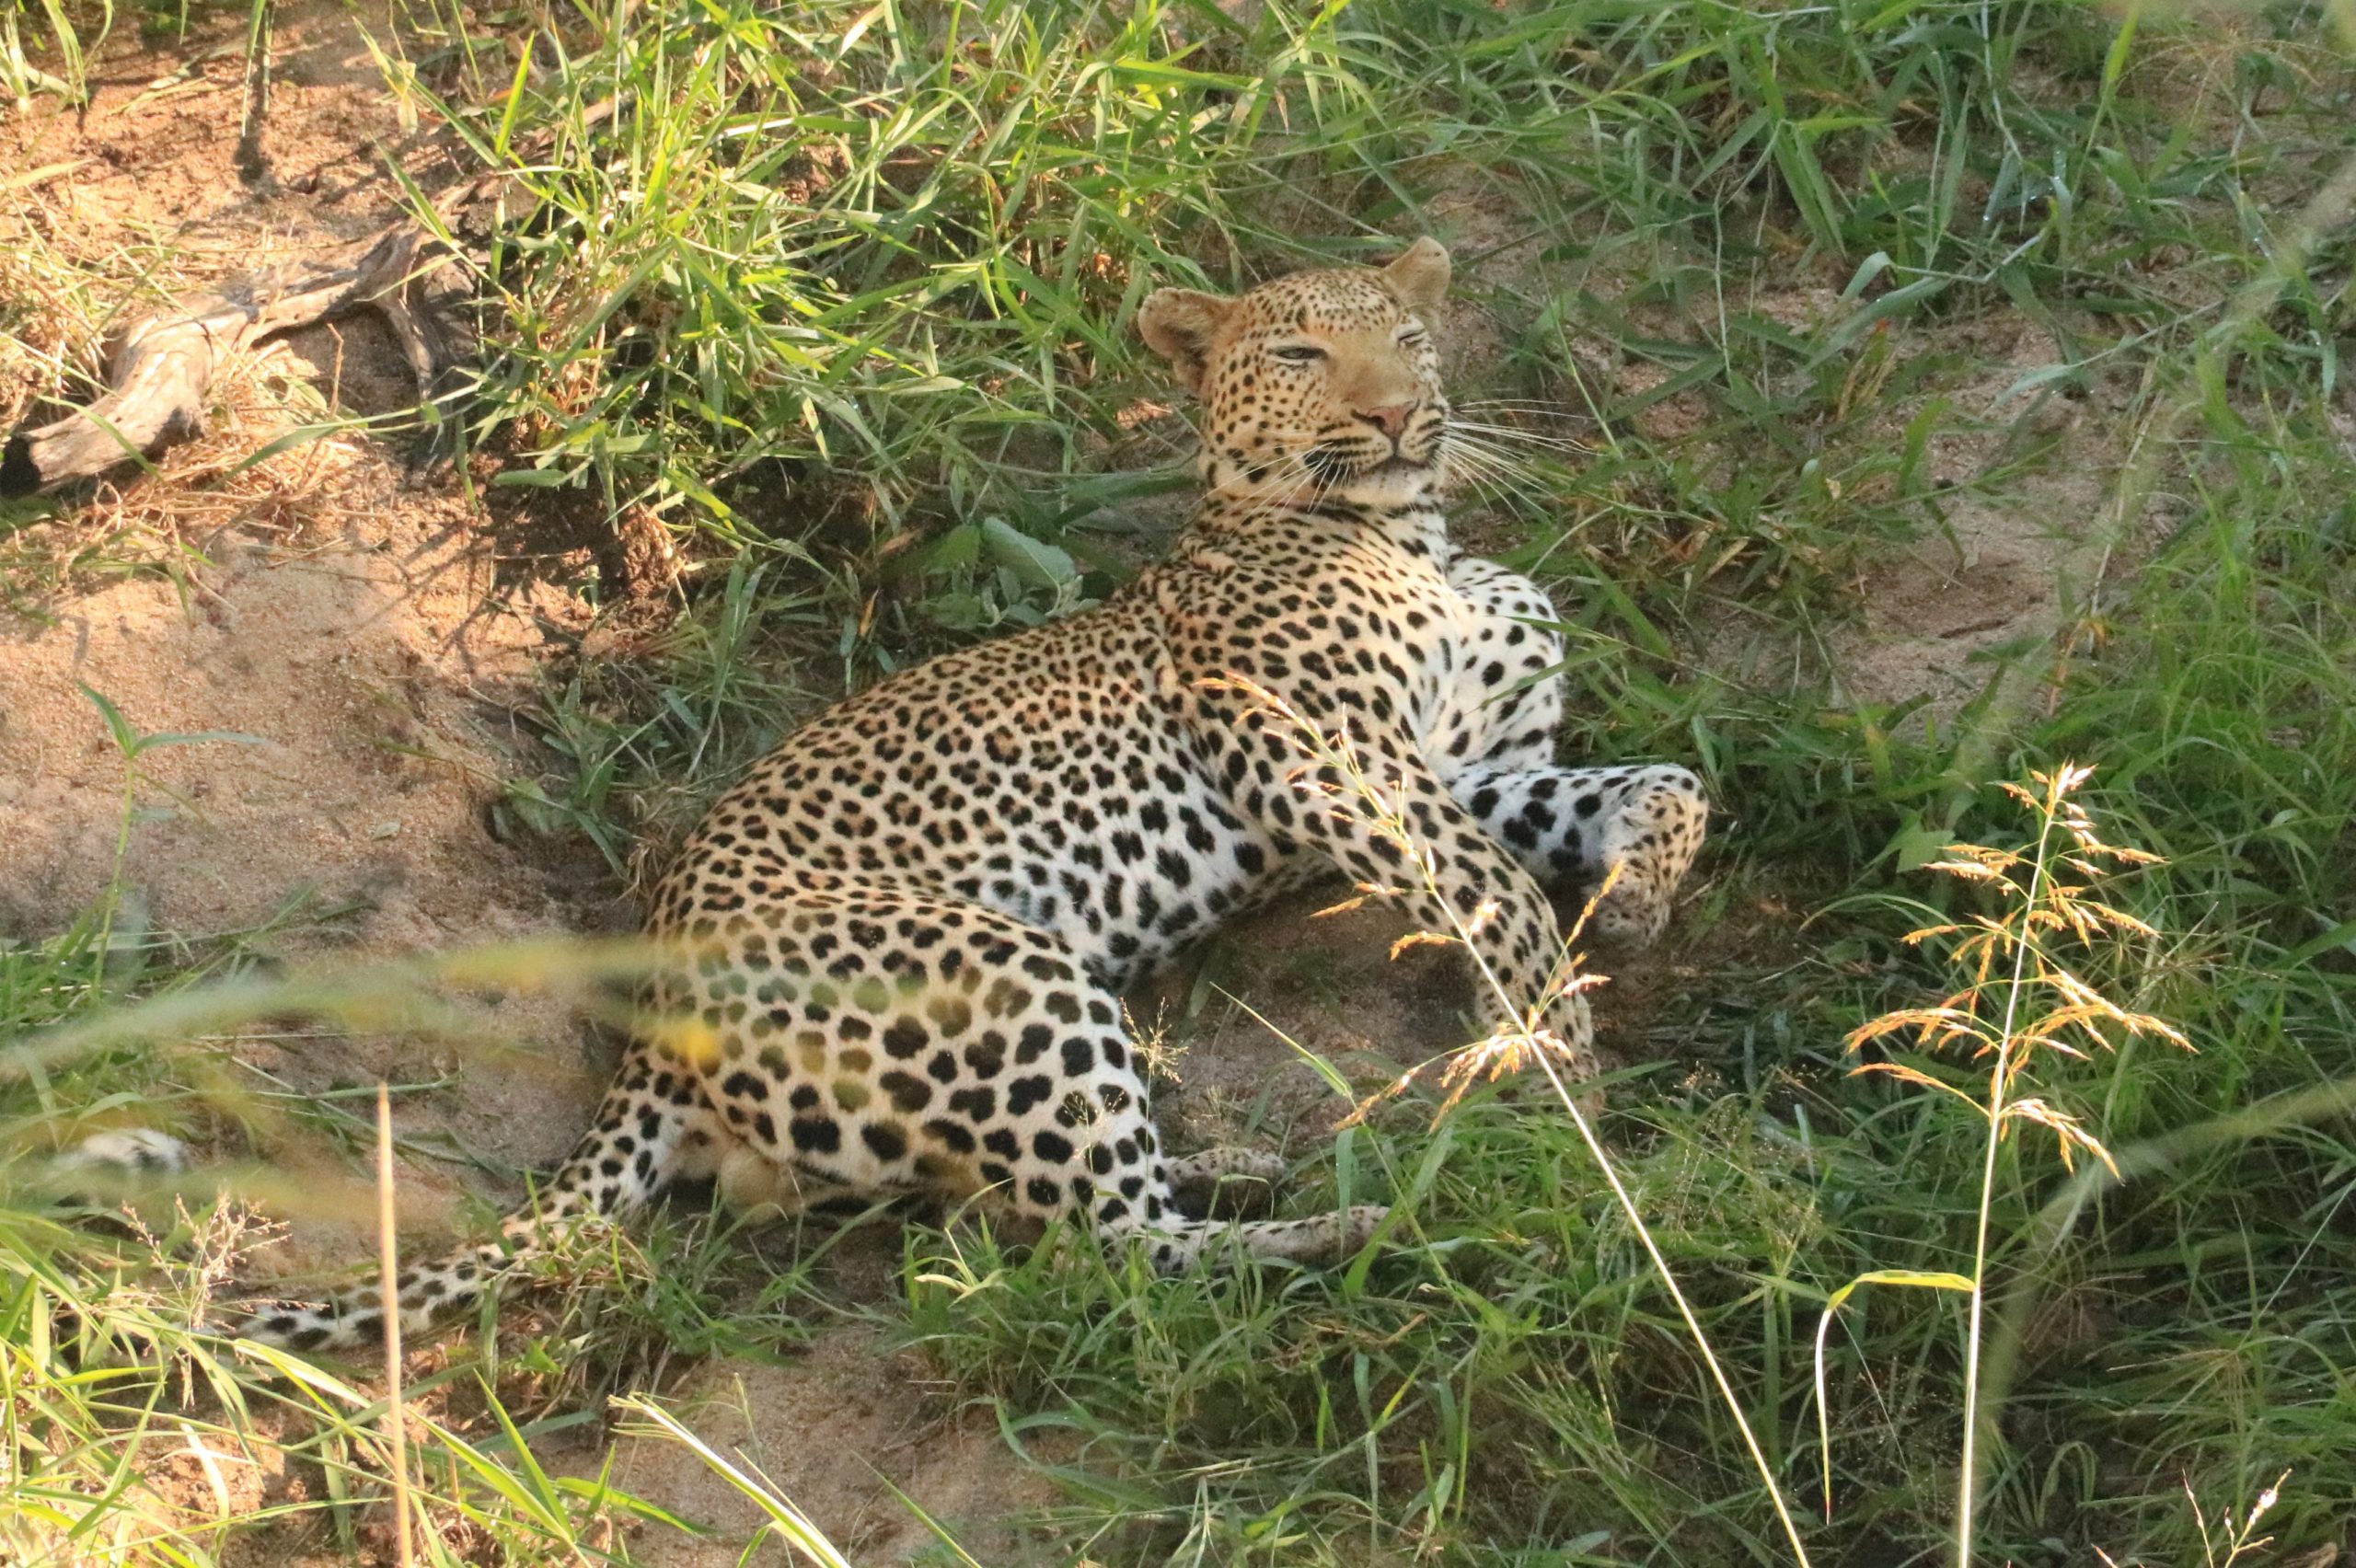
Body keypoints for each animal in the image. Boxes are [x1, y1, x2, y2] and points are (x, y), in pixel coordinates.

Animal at [198, 232, 1715, 1346]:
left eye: (1406, 338)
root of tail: (648, 1020)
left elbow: (1659, 783)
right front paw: (1558, 1052)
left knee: (1026, 1209)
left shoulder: (1466, 763)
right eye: (1298, 352)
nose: (1396, 412)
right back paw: (1352, 1224)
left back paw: (1245, 1169)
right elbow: (1498, 887)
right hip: (1008, 972)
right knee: (1108, 1249)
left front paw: (1633, 904)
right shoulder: (1310, 747)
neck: (1416, 534)